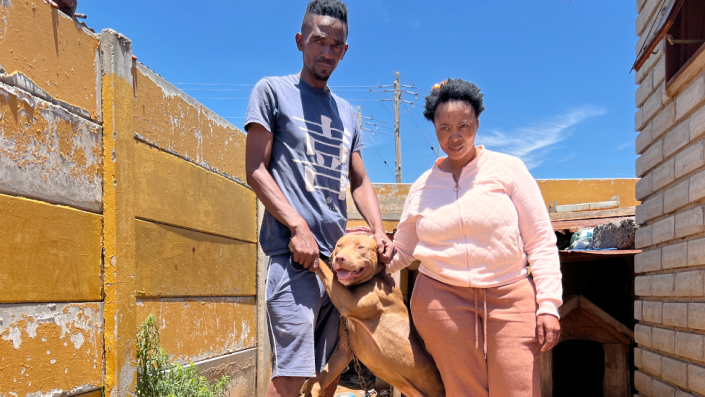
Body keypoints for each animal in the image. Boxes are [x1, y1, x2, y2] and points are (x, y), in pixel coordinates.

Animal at [306, 234, 442, 396]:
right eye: (339, 245)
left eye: (360, 247)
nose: (339, 258)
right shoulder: (344, 349)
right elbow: (321, 379)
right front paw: (311, 391)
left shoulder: (349, 302)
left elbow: (326, 270)